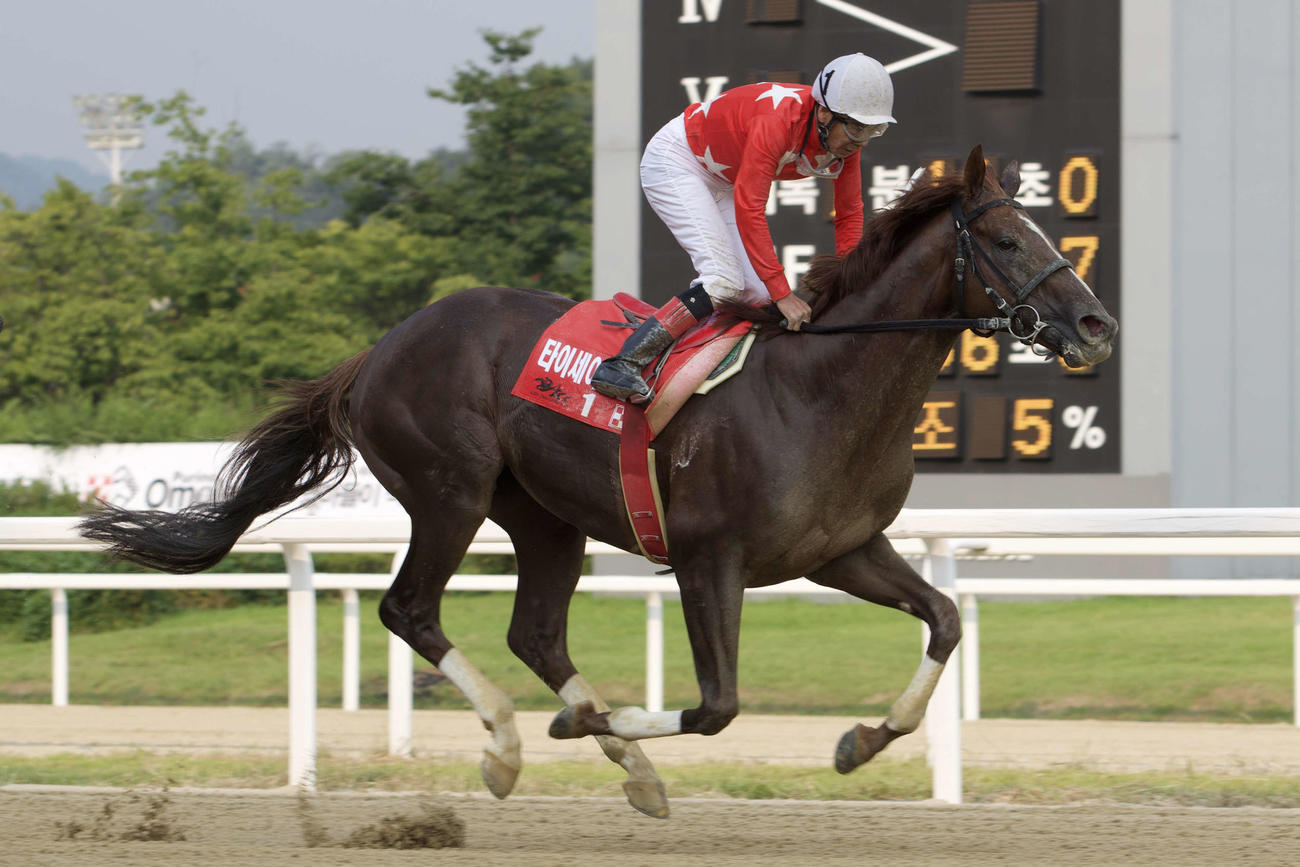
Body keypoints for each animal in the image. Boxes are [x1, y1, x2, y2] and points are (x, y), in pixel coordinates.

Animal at [80, 146, 1117, 818]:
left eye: (1041, 228)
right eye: (1009, 242)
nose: (1096, 324)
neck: (821, 386)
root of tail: (379, 349)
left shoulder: (843, 550)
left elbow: (943, 618)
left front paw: (861, 738)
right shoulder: (708, 557)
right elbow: (716, 705)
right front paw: (588, 726)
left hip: (546, 516)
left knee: (534, 631)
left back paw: (624, 762)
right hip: (451, 491)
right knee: (412, 609)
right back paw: (511, 743)